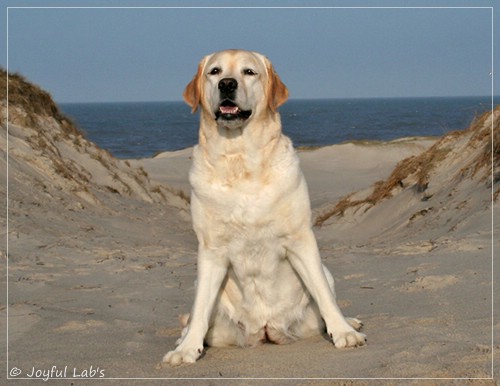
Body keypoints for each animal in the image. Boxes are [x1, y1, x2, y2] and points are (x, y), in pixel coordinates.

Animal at [165, 49, 368, 364]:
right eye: (214, 71)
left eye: (249, 72)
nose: (227, 84)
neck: (240, 162)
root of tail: (266, 328)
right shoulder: (211, 250)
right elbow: (199, 311)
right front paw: (186, 349)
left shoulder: (299, 239)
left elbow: (323, 294)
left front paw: (344, 333)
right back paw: (184, 338)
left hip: (324, 274)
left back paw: (350, 322)